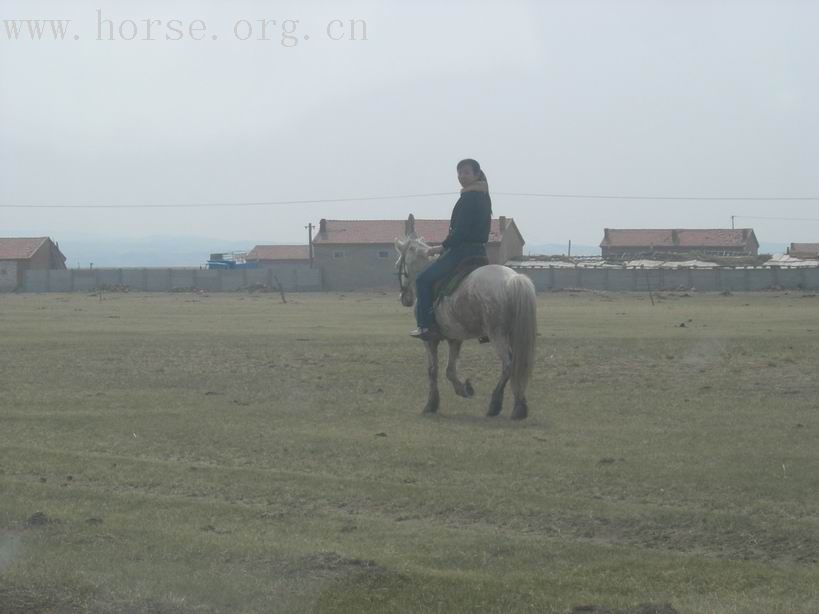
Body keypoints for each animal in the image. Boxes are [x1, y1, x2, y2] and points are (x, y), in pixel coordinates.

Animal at [396, 238, 540, 422]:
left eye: (398, 263)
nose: (404, 298)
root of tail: (514, 279)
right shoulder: (455, 338)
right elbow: (450, 371)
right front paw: (464, 389)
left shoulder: (430, 340)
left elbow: (433, 370)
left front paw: (431, 404)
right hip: (515, 335)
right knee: (519, 365)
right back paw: (519, 406)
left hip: (497, 335)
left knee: (509, 364)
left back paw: (495, 404)